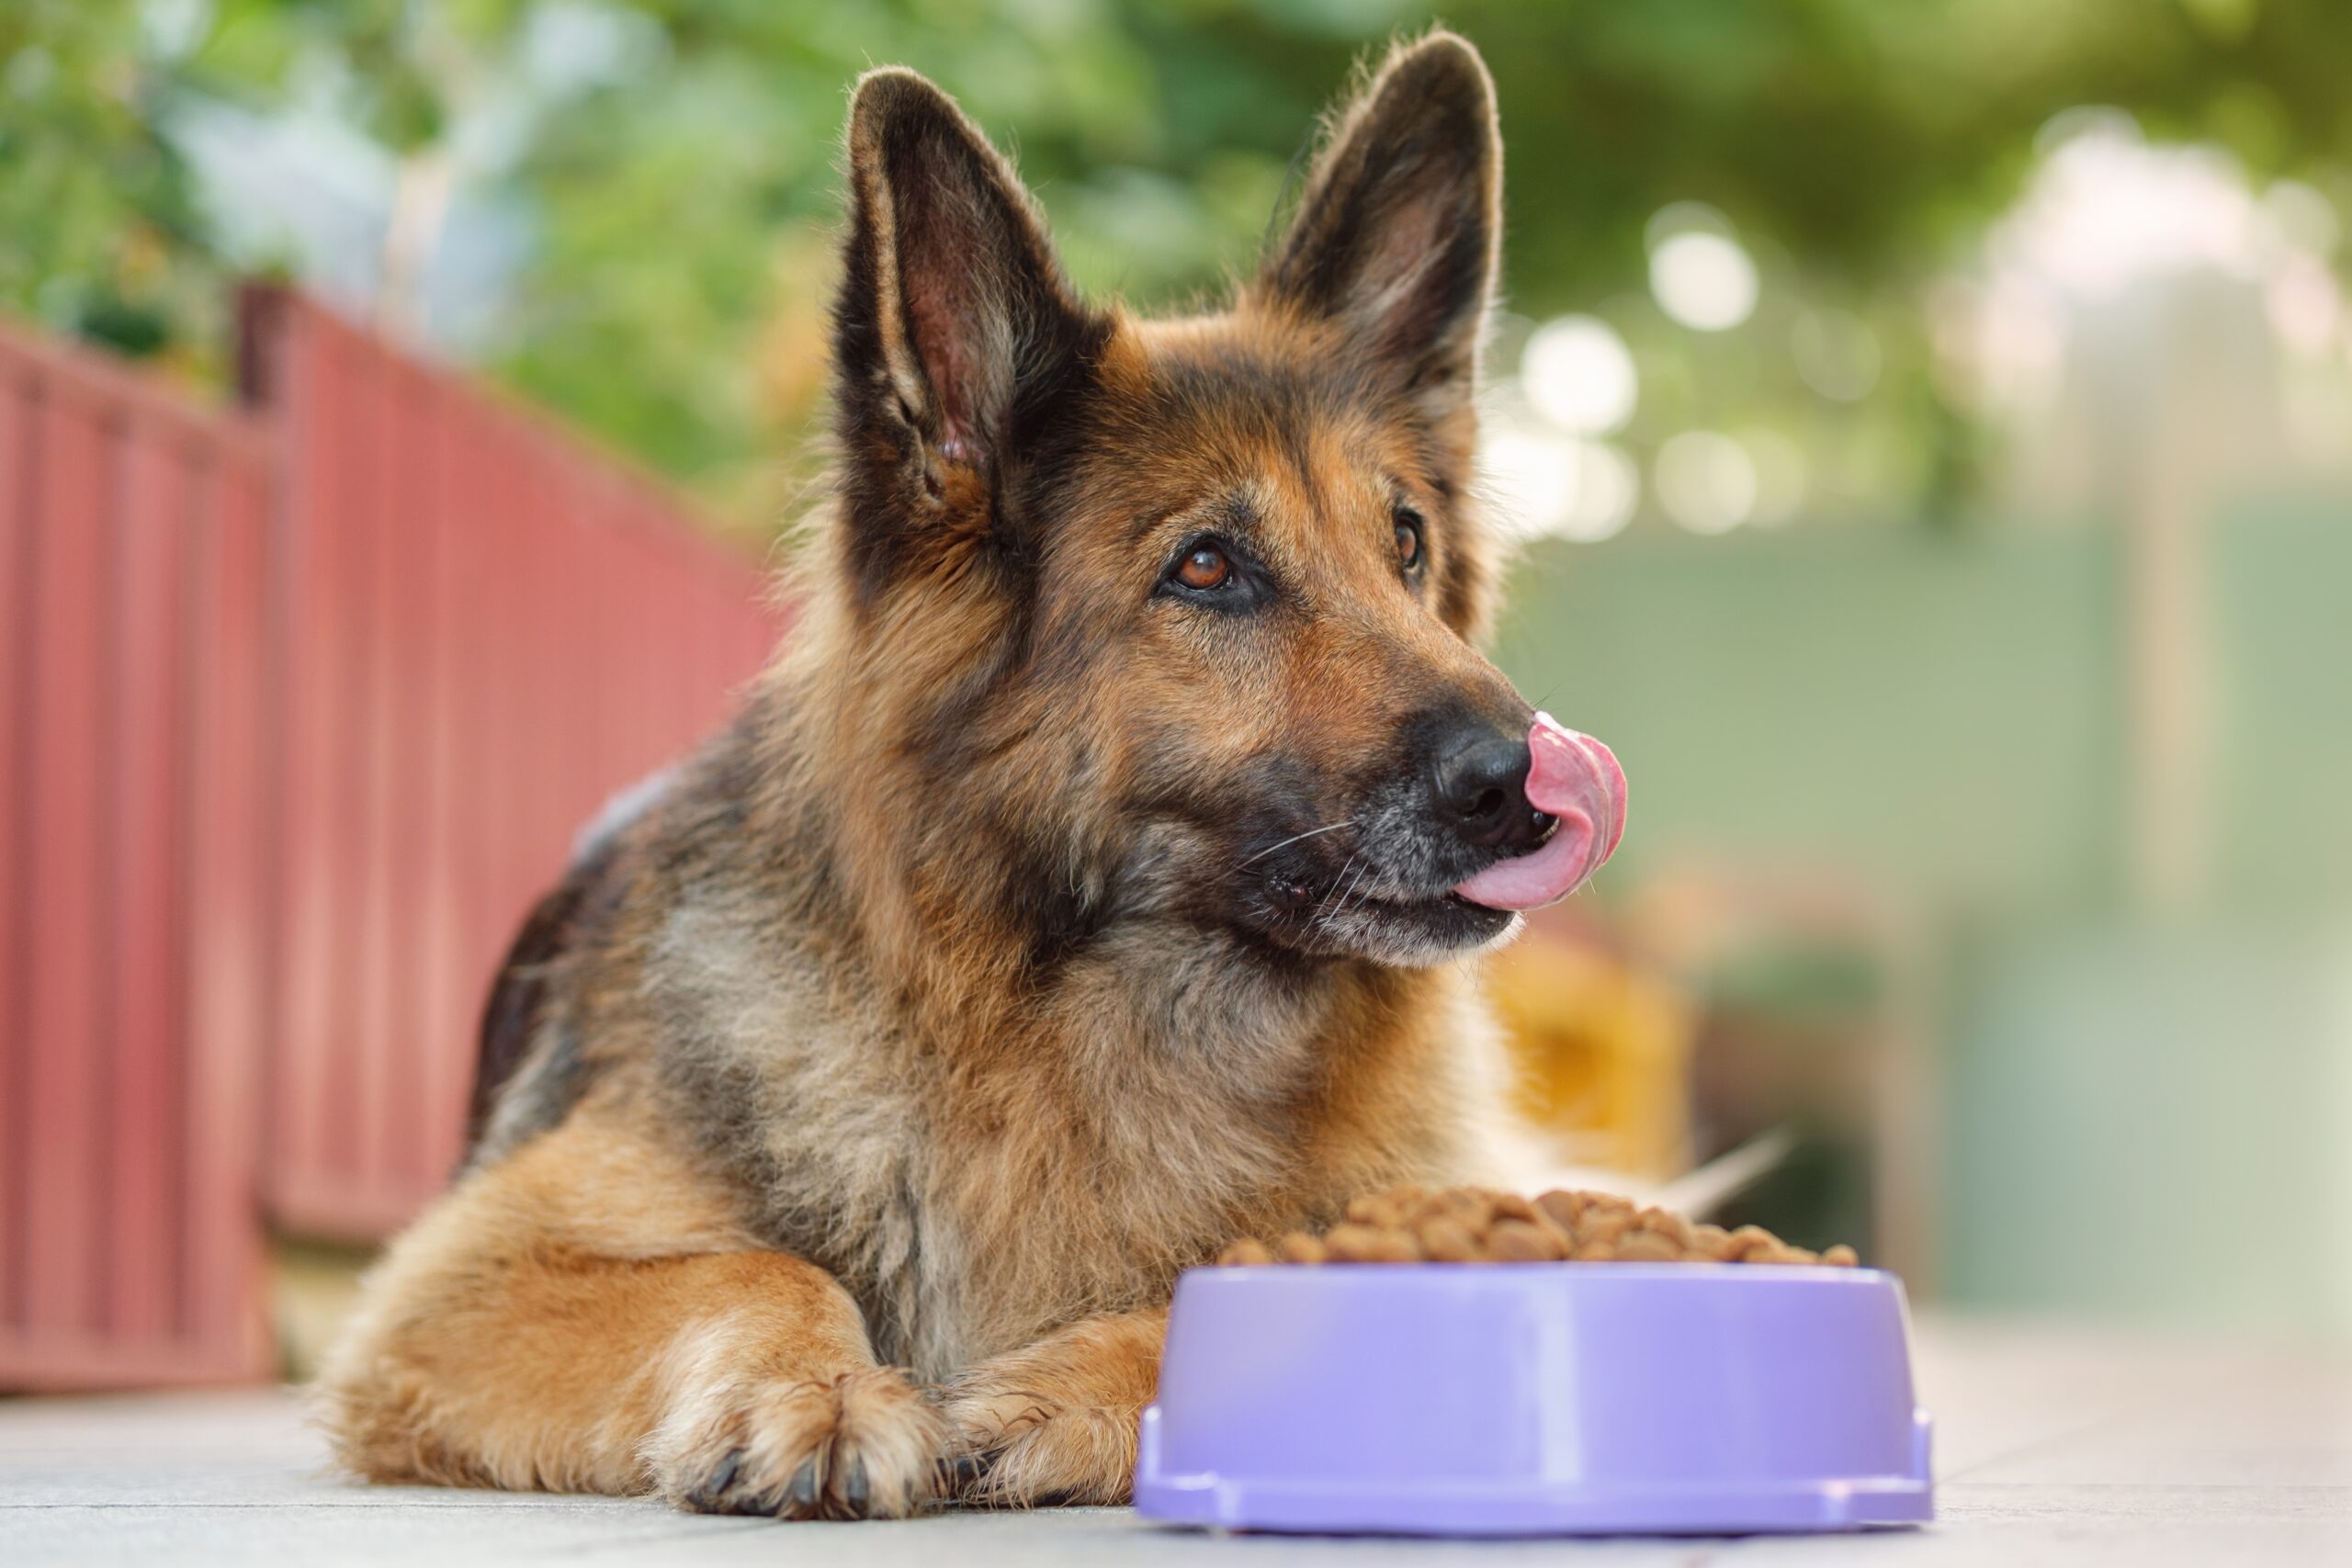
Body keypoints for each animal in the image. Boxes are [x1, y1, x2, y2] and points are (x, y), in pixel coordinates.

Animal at [322, 28, 1627, 1523]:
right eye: (1206, 567)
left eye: (1405, 542)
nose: (1534, 781)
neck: (1079, 1023)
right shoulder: (455, 1281)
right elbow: (754, 1260)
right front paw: (816, 1390)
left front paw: (1059, 1388)